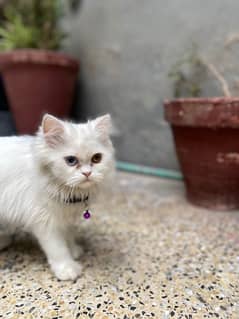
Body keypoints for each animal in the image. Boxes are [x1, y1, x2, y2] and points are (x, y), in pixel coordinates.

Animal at [0, 114, 115, 280]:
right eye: (71, 160)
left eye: (96, 158)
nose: (87, 173)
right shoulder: (45, 222)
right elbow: (58, 249)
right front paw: (67, 269)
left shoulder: (65, 218)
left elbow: (69, 236)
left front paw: (73, 250)